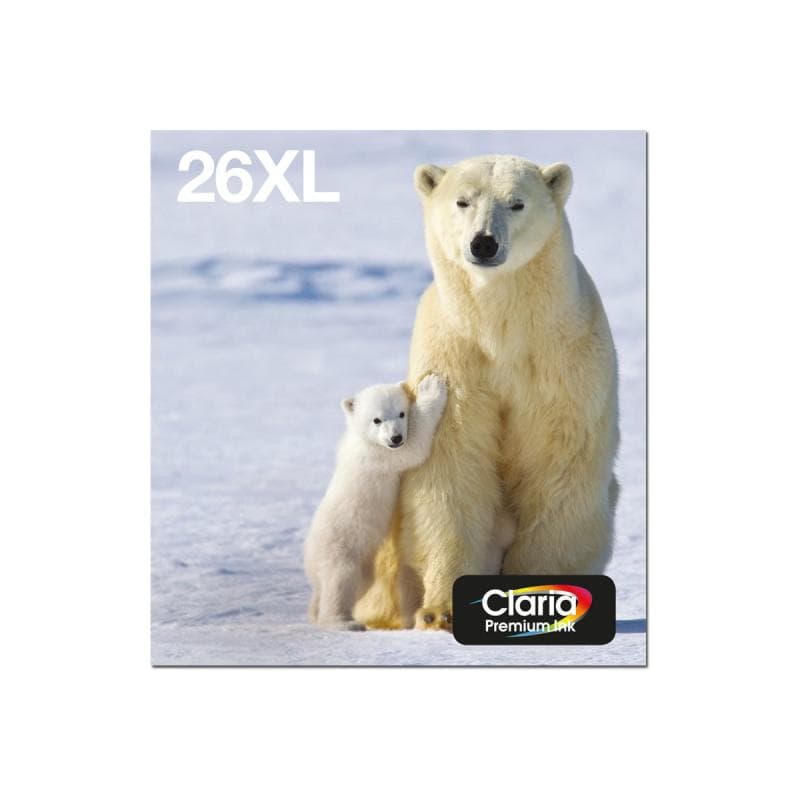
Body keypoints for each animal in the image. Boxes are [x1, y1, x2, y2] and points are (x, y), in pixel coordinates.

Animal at [304, 375, 448, 630]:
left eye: (401, 413)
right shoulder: (379, 456)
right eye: (377, 419)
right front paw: (430, 387)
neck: (362, 439)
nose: (395, 438)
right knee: (339, 581)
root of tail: (310, 562)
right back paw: (344, 622)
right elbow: (414, 447)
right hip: (339, 548)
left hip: (362, 564)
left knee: (358, 583)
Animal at [354, 155, 619, 631]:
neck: (502, 328)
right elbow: (453, 467)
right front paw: (440, 611)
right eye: (463, 201)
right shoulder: (456, 357)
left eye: (517, 203)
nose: (483, 244)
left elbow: (556, 465)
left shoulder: (562, 361)